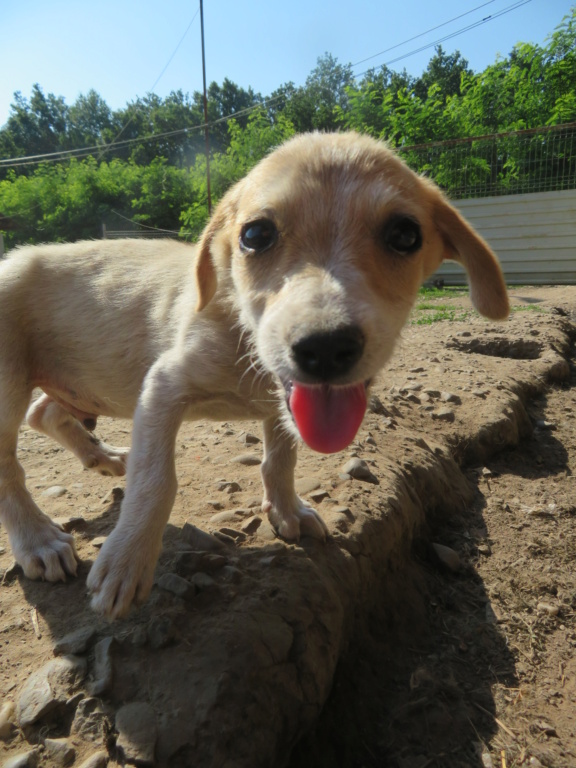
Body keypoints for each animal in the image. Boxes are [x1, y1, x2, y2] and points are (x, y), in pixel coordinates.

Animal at [0, 132, 508, 616]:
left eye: (405, 235)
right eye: (256, 234)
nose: (325, 348)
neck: (244, 343)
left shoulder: (281, 408)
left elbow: (279, 460)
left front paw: (286, 510)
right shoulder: (163, 386)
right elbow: (156, 480)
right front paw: (126, 562)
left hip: (81, 386)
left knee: (45, 413)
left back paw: (102, 456)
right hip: (9, 385)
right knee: (10, 466)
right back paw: (40, 540)